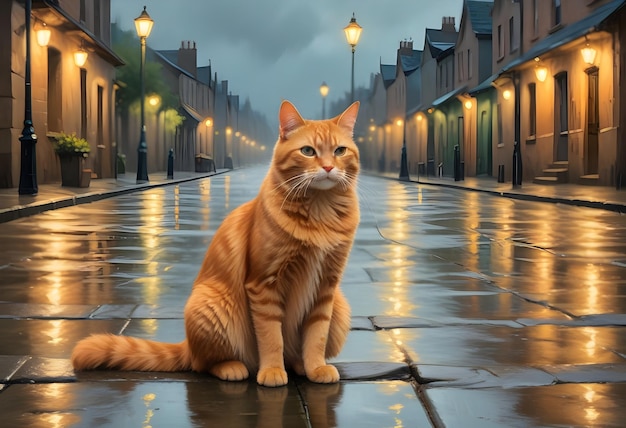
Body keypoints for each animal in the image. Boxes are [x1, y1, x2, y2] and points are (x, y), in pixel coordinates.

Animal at [70, 101, 358, 388]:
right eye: (308, 151)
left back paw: (298, 365)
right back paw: (234, 368)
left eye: (339, 151)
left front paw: (315, 367)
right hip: (211, 305)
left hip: (340, 306)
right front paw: (273, 371)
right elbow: (272, 337)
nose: (328, 168)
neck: (320, 212)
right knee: (204, 364)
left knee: (291, 354)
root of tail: (188, 345)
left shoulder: (326, 286)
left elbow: (316, 336)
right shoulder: (264, 284)